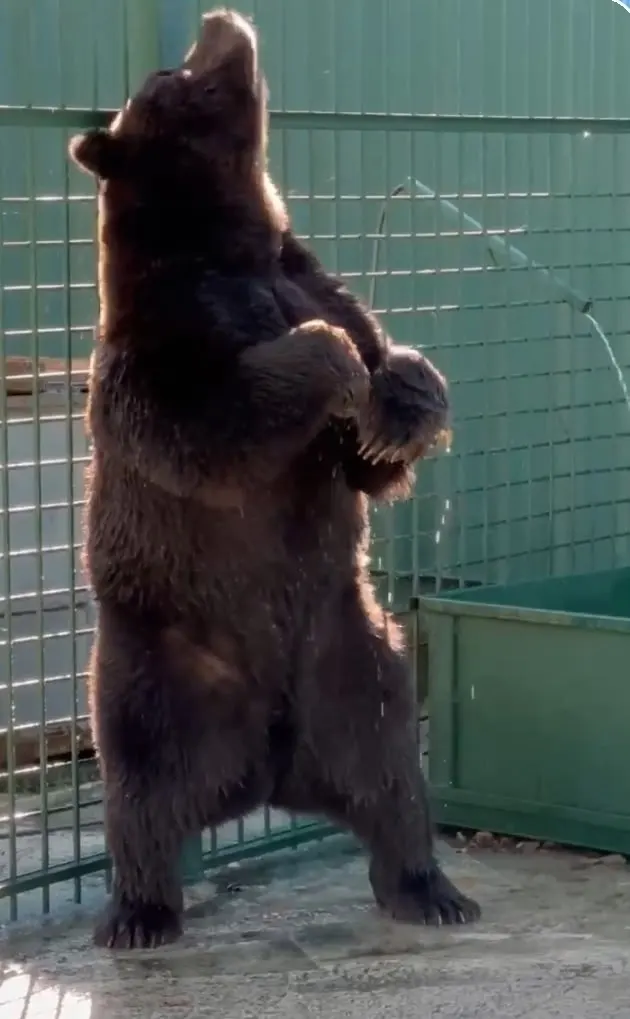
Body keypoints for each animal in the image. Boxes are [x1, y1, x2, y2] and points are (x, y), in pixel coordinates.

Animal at [68, 7, 480, 950]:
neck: (229, 244)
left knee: (393, 775)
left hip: (355, 664)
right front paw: (339, 373)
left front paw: (394, 403)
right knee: (140, 791)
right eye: (168, 73)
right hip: (154, 672)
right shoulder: (163, 347)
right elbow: (215, 422)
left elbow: (375, 382)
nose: (220, 19)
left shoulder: (312, 279)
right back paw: (139, 912)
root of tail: (265, 771)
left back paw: (431, 887)